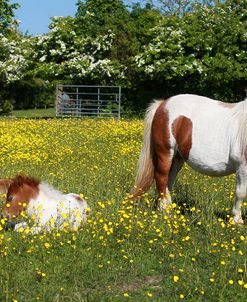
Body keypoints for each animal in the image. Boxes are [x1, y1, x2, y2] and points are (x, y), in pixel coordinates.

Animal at [132, 94, 247, 224]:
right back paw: (165, 210)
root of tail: (163, 104)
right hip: (165, 153)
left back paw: (168, 208)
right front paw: (236, 220)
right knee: (161, 178)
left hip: (177, 158)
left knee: (169, 180)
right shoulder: (242, 166)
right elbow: (241, 192)